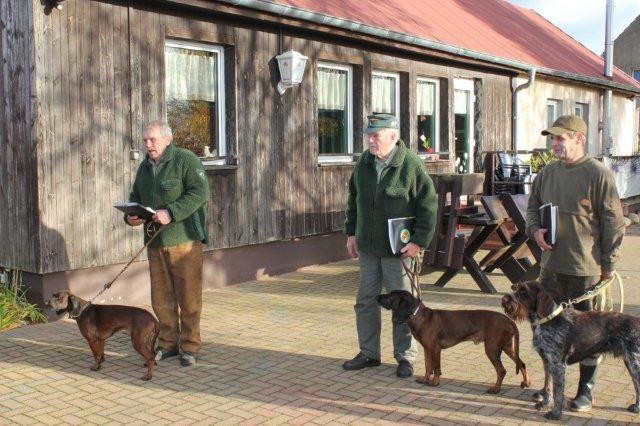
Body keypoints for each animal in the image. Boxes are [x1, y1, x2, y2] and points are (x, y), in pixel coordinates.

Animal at [376, 290, 528, 392]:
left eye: (390, 296)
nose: (377, 296)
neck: (419, 315)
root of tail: (508, 320)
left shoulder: (435, 349)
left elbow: (436, 368)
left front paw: (435, 382)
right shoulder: (427, 348)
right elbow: (428, 366)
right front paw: (425, 379)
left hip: (492, 349)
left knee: (502, 370)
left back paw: (496, 388)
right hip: (506, 347)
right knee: (522, 363)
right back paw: (526, 383)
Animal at [502, 280, 640, 420]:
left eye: (524, 291)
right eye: (515, 287)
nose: (505, 299)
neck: (547, 320)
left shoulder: (558, 365)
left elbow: (557, 391)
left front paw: (555, 413)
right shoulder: (547, 362)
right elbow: (548, 386)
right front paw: (545, 404)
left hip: (635, 363)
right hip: (630, 363)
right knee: (637, 385)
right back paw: (636, 407)